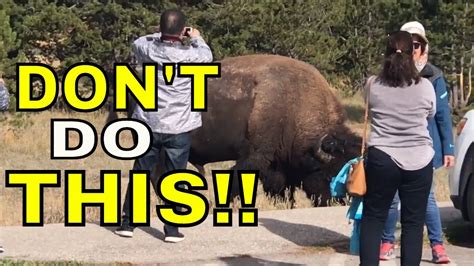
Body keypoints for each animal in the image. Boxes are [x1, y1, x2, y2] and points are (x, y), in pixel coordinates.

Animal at [107, 55, 360, 207]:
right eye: (329, 174)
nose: (342, 202)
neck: (294, 99)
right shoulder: (256, 156)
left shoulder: (280, 162)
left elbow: (281, 188)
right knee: (156, 173)